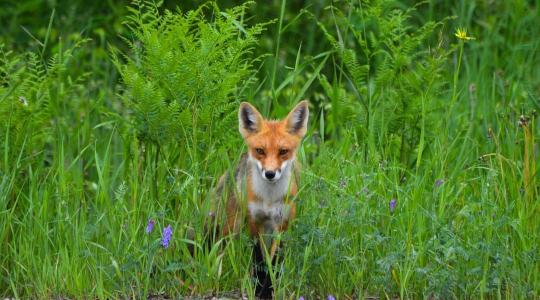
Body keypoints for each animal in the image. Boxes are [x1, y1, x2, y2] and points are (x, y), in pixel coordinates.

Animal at [207, 100, 308, 298]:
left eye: (283, 151)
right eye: (260, 150)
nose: (269, 174)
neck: (269, 198)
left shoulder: (282, 224)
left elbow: (274, 262)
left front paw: (269, 290)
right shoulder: (255, 221)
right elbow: (259, 260)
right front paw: (259, 290)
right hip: (231, 226)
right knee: (219, 249)